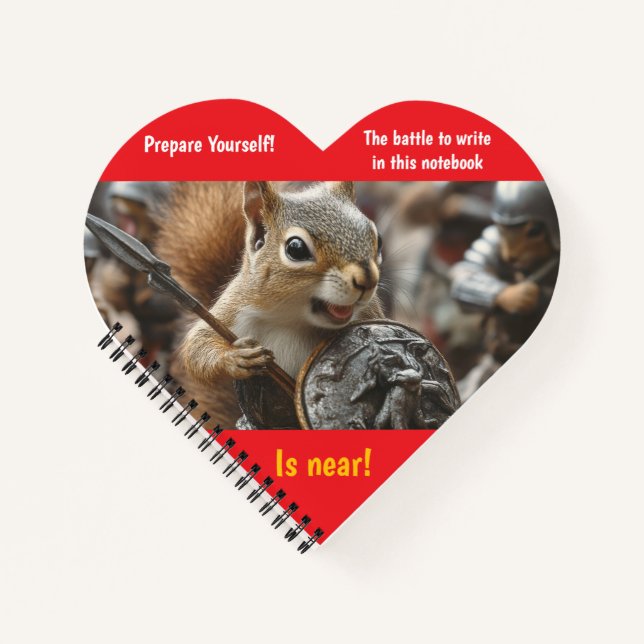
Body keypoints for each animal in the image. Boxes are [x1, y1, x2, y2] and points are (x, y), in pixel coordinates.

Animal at [155, 181, 384, 427]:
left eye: (378, 239)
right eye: (296, 249)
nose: (367, 279)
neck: (291, 319)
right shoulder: (234, 309)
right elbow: (197, 346)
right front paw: (235, 357)